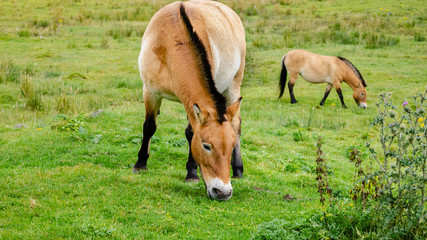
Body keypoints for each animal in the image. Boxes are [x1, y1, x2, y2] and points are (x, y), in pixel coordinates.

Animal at [134, 0, 247, 201]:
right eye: (206, 146)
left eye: (231, 145)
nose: (223, 192)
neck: (172, 44)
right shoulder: (150, 92)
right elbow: (149, 127)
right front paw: (140, 163)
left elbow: (190, 132)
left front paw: (192, 173)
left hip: (234, 85)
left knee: (236, 125)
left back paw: (238, 169)